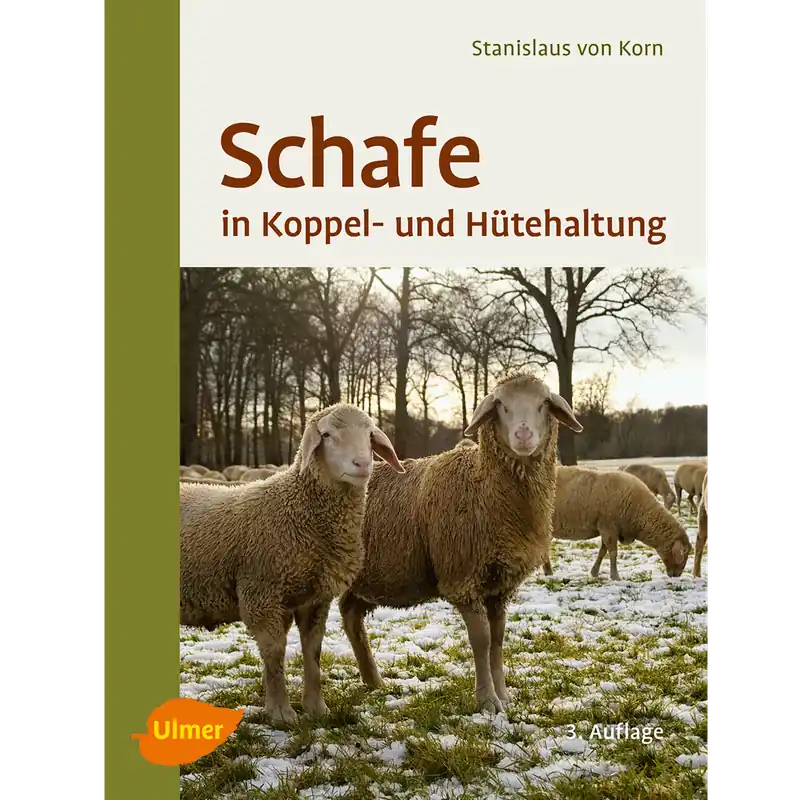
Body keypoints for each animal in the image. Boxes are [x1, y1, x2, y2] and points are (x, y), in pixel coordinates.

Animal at [180, 403, 405, 724]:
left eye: (370, 434)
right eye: (327, 434)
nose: (362, 464)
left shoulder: (315, 598)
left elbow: (313, 650)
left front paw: (316, 708)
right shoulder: (262, 593)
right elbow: (275, 654)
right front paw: (282, 713)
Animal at [337, 371, 584, 714]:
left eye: (544, 402)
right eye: (500, 404)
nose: (523, 435)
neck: (482, 486)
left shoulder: (500, 585)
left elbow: (497, 640)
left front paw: (504, 696)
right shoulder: (462, 578)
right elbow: (481, 640)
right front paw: (487, 700)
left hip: (367, 579)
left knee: (351, 617)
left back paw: (374, 681)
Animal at [542, 467, 692, 581]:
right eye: (684, 552)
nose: (677, 575)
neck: (639, 511)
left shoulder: (607, 529)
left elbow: (603, 551)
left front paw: (594, 572)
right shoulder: (607, 526)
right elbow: (613, 552)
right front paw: (615, 576)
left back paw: (547, 572)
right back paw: (547, 571)